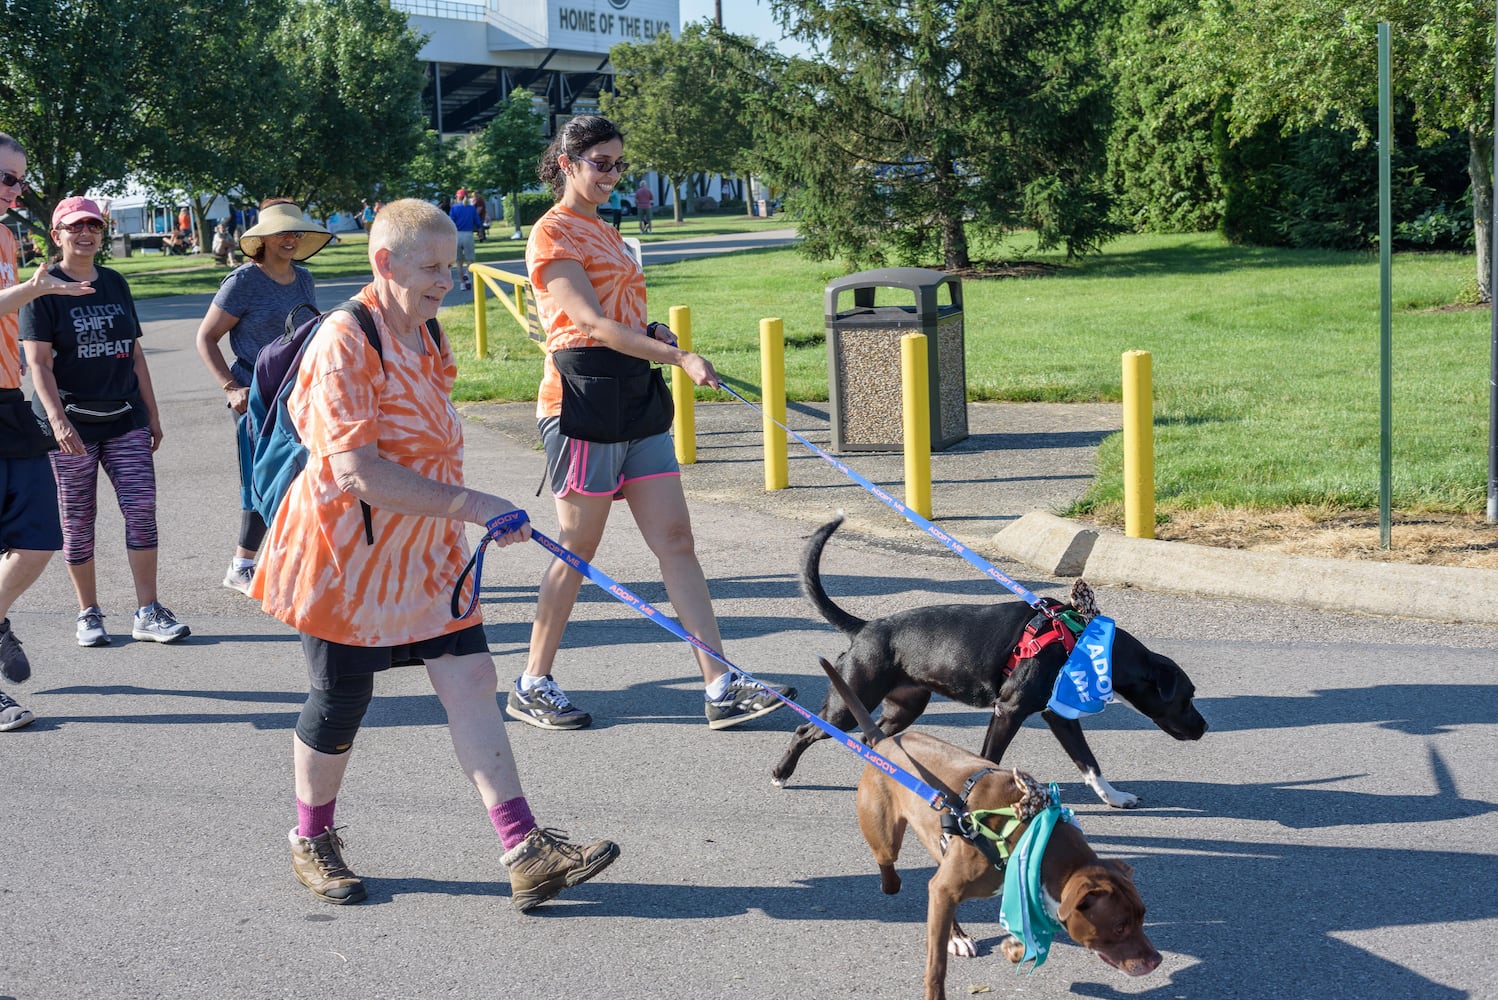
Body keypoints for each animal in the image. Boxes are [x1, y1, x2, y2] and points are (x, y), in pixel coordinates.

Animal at [772, 514, 1204, 802]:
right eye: (1186, 697)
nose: (1203, 728)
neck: (1083, 642)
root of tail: (865, 627)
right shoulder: (1008, 711)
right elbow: (990, 758)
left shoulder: (1059, 716)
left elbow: (1089, 763)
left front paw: (1113, 797)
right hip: (849, 700)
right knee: (805, 730)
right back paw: (781, 772)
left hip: (904, 706)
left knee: (872, 737)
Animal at [832, 655, 1156, 994]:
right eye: (1119, 926)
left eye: (1142, 916)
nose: (1156, 960)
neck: (1033, 833)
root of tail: (884, 742)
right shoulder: (947, 889)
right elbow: (936, 965)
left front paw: (1015, 948)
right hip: (885, 834)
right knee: (888, 862)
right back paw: (900, 890)